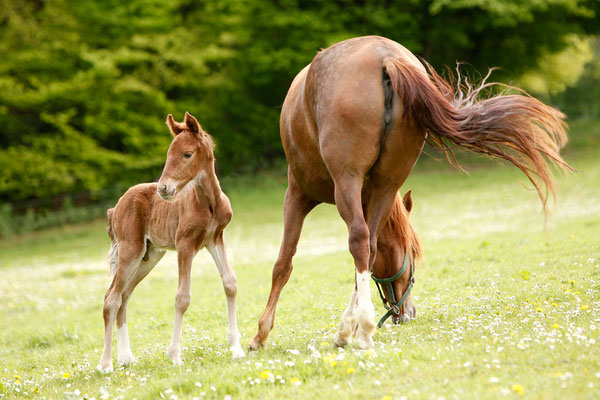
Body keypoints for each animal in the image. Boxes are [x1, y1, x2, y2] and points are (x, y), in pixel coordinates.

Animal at [99, 110, 245, 372]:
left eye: (187, 154)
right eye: (168, 154)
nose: (163, 188)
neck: (208, 203)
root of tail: (114, 208)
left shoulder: (215, 239)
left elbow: (230, 283)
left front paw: (236, 349)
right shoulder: (185, 245)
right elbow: (182, 298)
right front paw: (175, 356)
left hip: (149, 256)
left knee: (124, 297)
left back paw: (127, 358)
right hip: (130, 250)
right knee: (111, 299)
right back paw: (106, 364)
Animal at [248, 36, 572, 350]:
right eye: (413, 253)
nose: (408, 313)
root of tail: (387, 58)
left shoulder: (297, 195)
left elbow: (283, 264)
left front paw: (260, 335)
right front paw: (349, 327)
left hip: (347, 182)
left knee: (359, 240)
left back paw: (360, 330)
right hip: (386, 183)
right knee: (368, 245)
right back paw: (353, 329)